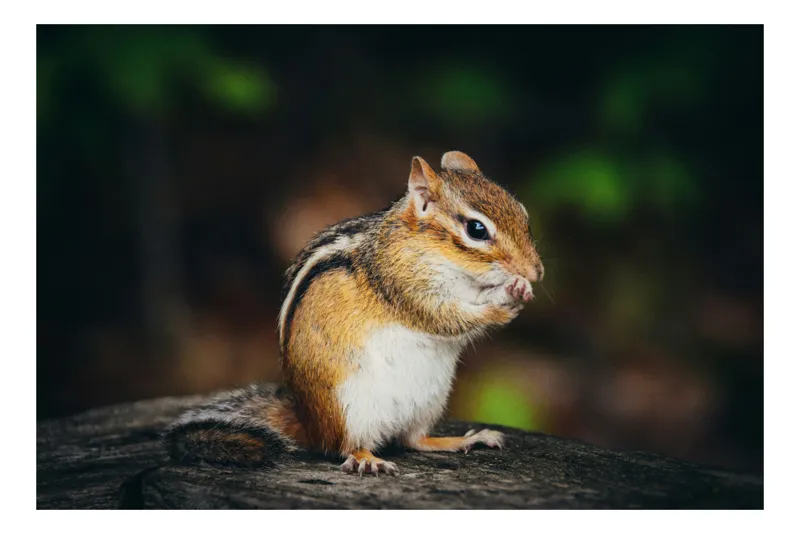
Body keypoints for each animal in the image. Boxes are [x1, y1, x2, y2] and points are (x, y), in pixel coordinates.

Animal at [165, 151, 544, 476]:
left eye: (524, 215)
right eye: (476, 230)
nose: (536, 272)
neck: (427, 247)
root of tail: (308, 422)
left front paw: (521, 289)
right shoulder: (404, 285)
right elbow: (447, 317)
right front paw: (504, 300)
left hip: (430, 401)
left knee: (414, 440)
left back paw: (464, 439)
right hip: (349, 407)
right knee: (345, 446)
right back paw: (366, 459)